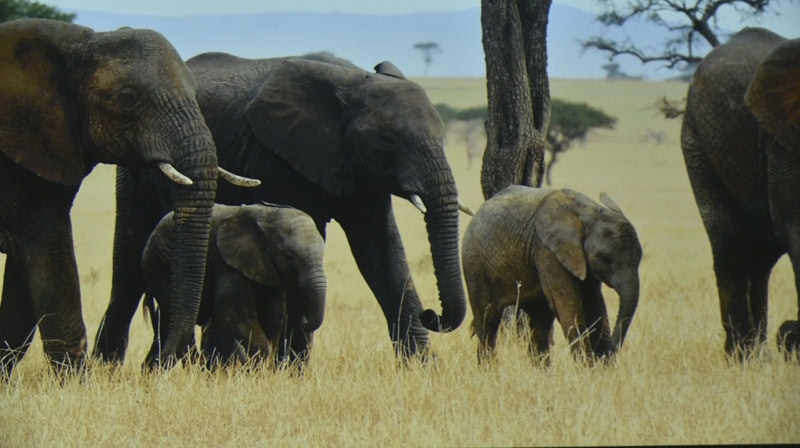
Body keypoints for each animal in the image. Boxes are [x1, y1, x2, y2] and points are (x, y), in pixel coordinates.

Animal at [0, 19, 257, 375]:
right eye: (127, 98)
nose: (182, 358)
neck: (76, 42)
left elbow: (27, 267)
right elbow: (50, 254)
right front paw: (78, 384)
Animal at [141, 203, 326, 369]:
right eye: (289, 256)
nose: (304, 319)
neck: (268, 215)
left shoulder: (270, 270)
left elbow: (274, 315)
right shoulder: (227, 261)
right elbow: (233, 313)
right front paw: (257, 369)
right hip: (158, 264)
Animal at [461, 186, 642, 363]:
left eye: (640, 257)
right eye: (605, 258)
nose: (612, 350)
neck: (590, 213)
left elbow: (595, 304)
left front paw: (603, 367)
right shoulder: (548, 252)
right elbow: (569, 307)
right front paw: (587, 367)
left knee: (540, 322)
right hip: (476, 266)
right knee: (488, 321)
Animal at [681, 27, 800, 359]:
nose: (788, 332)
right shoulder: (782, 145)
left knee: (761, 257)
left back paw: (759, 355)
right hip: (696, 143)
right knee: (729, 243)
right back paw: (742, 356)